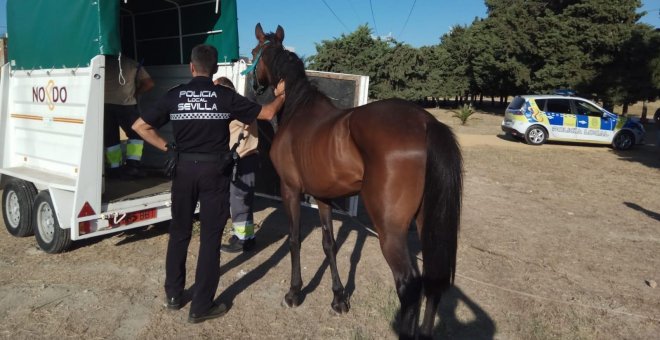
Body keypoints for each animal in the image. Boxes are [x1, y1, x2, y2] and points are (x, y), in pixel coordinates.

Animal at [248, 22, 464, 338]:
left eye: (254, 52)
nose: (254, 86)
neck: (299, 110)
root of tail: (427, 122)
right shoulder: (323, 197)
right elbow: (329, 245)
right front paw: (339, 298)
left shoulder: (290, 190)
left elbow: (294, 239)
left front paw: (294, 293)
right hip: (427, 223)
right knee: (434, 282)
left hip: (390, 231)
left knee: (409, 285)